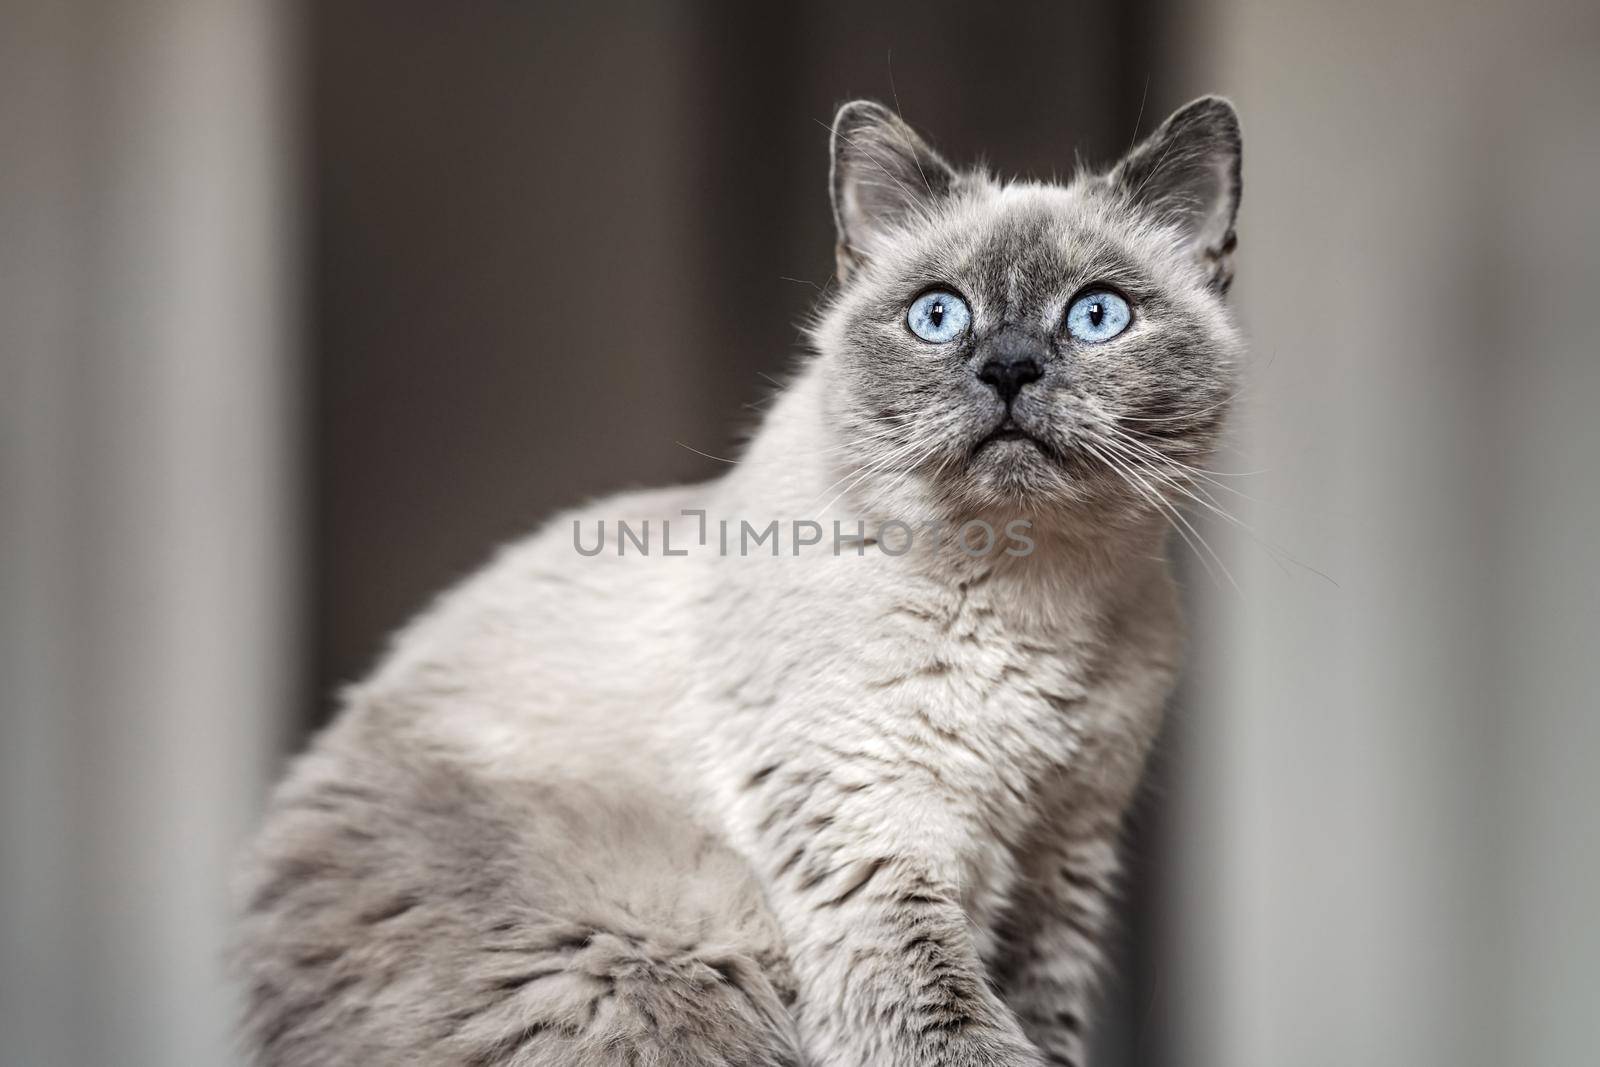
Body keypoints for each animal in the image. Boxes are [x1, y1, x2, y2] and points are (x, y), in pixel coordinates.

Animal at [232, 97, 1241, 1067]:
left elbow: (1046, 1033)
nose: (1010, 368)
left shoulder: (1062, 858)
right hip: (655, 958)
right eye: (939, 316)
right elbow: (959, 1033)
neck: (1033, 592)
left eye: (1096, 315)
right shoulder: (873, 843)